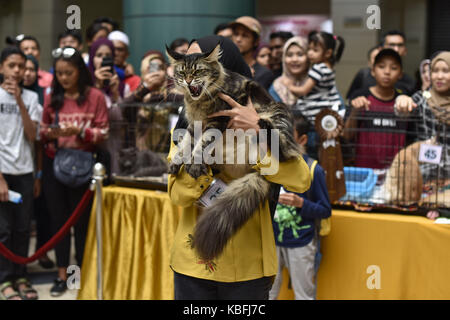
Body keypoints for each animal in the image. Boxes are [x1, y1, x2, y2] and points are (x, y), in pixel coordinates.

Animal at [167, 43, 300, 260]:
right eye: (182, 72)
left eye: (197, 71)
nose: (188, 81)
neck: (199, 102)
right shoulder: (193, 124)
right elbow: (186, 143)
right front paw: (176, 161)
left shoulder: (216, 122)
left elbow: (200, 145)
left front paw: (193, 164)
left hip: (277, 113)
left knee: (283, 149)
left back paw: (264, 127)